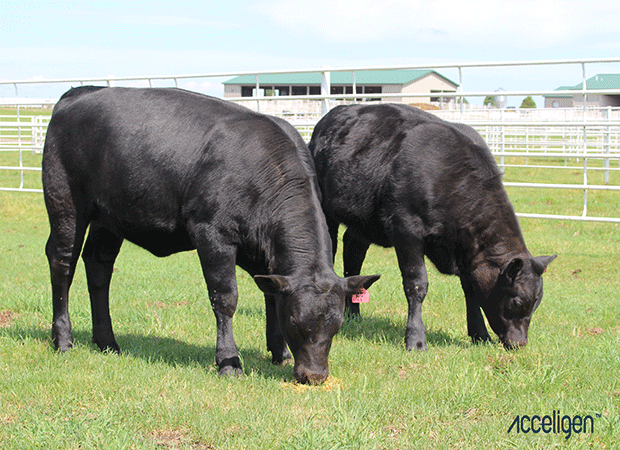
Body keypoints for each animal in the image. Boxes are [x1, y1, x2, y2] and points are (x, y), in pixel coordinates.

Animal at [42, 87, 378, 384]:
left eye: (337, 324)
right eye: (295, 321)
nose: (314, 376)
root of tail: (80, 93)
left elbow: (271, 295)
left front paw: (279, 352)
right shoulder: (212, 234)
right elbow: (225, 298)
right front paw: (229, 362)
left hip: (109, 219)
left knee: (99, 267)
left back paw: (107, 342)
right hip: (66, 202)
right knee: (63, 264)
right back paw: (63, 339)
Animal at [310, 103, 556, 350]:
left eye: (537, 303)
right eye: (517, 300)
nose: (519, 343)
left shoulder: (466, 250)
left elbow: (471, 290)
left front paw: (479, 334)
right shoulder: (406, 230)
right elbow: (417, 284)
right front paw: (416, 339)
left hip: (363, 221)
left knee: (354, 255)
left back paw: (354, 314)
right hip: (327, 211)